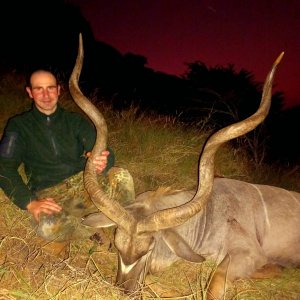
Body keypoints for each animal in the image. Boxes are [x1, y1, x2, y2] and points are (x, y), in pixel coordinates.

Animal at [69, 34, 300, 298]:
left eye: (147, 250)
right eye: (117, 247)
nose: (124, 290)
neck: (210, 215)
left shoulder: (249, 253)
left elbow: (216, 280)